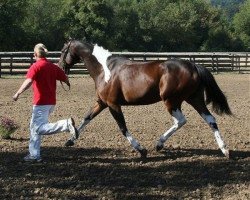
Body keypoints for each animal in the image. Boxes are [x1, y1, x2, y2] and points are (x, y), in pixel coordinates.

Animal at [58, 39, 232, 159]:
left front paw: (141, 150)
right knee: (210, 119)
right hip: (194, 99)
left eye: (63, 51)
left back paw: (159, 144)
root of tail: (194, 66)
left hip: (171, 101)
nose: (60, 67)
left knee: (181, 121)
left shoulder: (113, 104)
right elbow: (87, 117)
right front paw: (70, 140)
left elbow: (123, 127)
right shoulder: (102, 103)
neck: (105, 70)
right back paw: (225, 150)